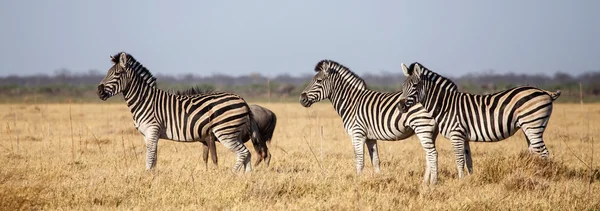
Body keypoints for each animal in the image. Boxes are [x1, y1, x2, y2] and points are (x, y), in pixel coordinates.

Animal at [96, 52, 262, 172]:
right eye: (107, 73)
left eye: (116, 74)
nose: (99, 92)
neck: (144, 100)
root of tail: (242, 100)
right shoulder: (147, 134)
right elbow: (153, 158)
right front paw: (153, 177)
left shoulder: (152, 130)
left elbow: (150, 159)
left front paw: (147, 176)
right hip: (234, 132)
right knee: (247, 154)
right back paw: (246, 177)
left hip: (224, 132)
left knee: (243, 153)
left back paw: (232, 175)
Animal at [298, 59, 438, 185]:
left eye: (318, 81)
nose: (301, 99)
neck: (351, 103)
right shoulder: (370, 137)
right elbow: (375, 160)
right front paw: (379, 180)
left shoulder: (357, 133)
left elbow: (359, 159)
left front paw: (358, 181)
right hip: (431, 131)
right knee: (428, 155)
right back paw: (425, 182)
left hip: (422, 127)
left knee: (432, 154)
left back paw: (432, 183)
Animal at [396, 62, 560, 178]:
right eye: (403, 85)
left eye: (415, 85)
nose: (400, 106)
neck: (446, 105)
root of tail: (544, 91)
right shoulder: (464, 136)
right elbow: (468, 160)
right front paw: (470, 180)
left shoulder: (456, 134)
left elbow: (459, 160)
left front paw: (460, 181)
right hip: (529, 128)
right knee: (535, 151)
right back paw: (533, 173)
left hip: (533, 125)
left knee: (544, 153)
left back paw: (546, 176)